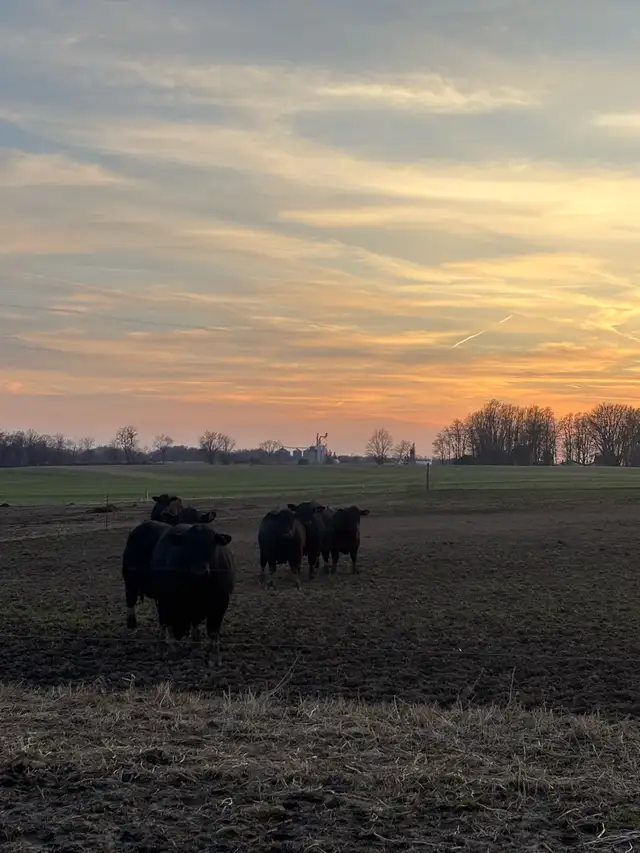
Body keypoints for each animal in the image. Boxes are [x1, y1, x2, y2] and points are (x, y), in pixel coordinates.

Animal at [151, 523, 235, 667]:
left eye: (211, 545)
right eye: (188, 546)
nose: (199, 571)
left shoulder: (220, 605)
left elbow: (213, 633)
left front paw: (214, 657)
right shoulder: (168, 601)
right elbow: (170, 629)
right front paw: (173, 654)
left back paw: (196, 648)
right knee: (163, 625)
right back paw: (160, 651)